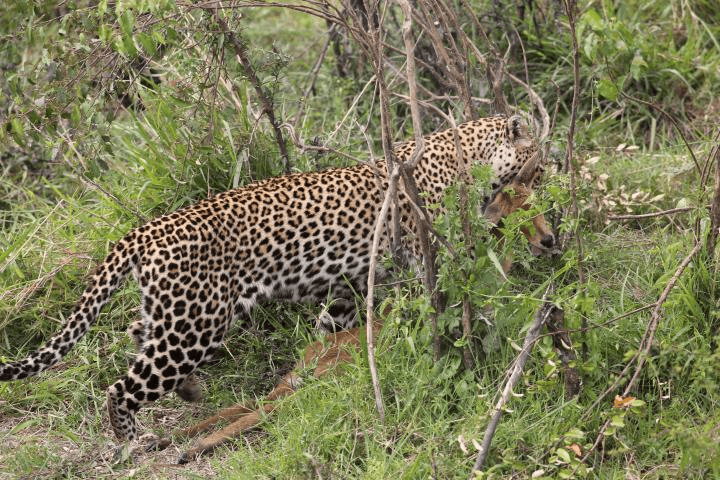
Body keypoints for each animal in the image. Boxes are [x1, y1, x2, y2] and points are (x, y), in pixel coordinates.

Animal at [0, 114, 555, 443]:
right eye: (540, 163)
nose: (548, 175)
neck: (470, 161)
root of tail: (143, 230)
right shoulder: (428, 256)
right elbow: (453, 303)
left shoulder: (347, 285)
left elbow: (335, 329)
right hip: (194, 325)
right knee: (122, 388)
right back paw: (132, 440)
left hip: (178, 313)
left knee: (138, 334)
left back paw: (191, 392)